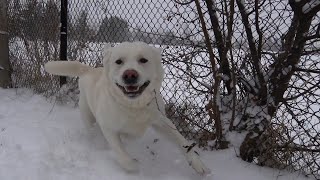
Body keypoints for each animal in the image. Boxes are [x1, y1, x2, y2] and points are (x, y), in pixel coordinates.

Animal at [45, 41, 210, 174]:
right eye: (119, 61)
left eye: (143, 60)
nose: (130, 74)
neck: (133, 106)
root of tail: (89, 69)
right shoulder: (108, 128)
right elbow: (122, 155)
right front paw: (134, 166)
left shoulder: (161, 120)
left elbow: (182, 141)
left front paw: (198, 164)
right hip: (88, 116)